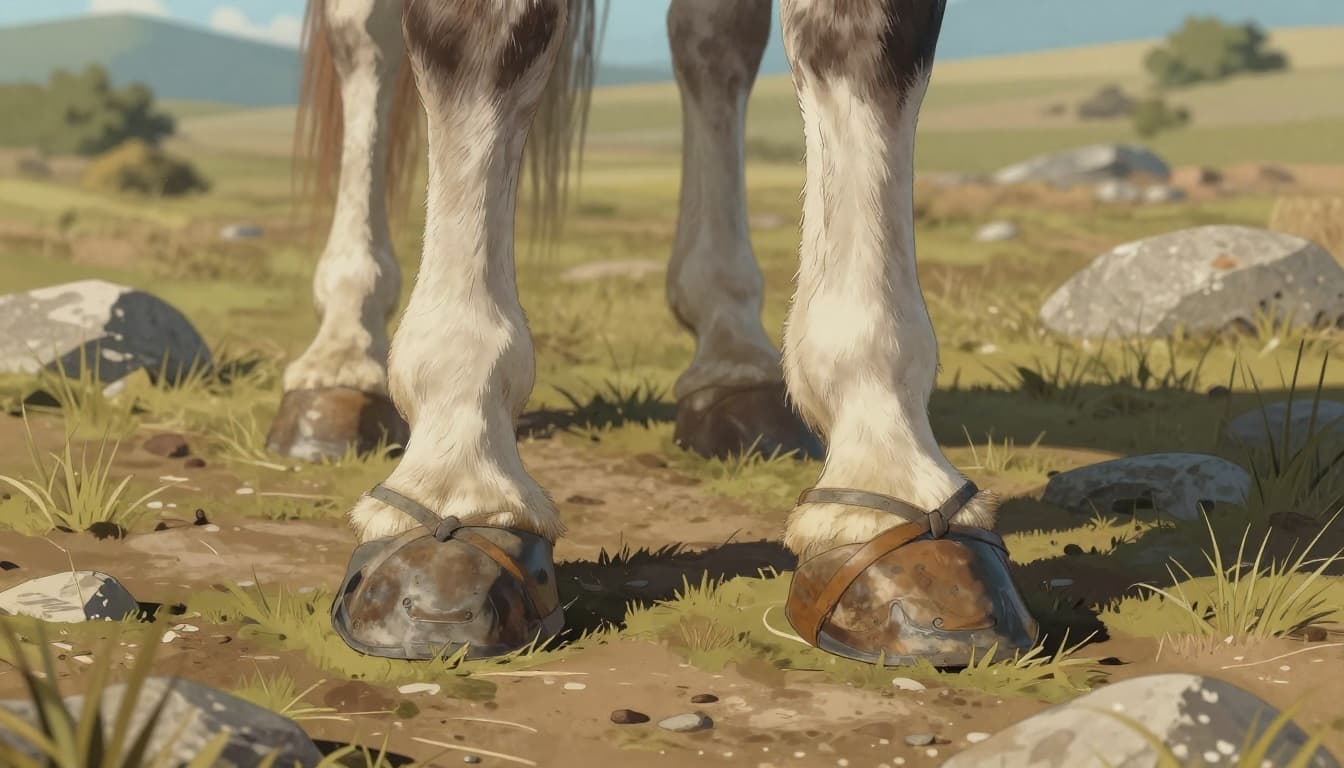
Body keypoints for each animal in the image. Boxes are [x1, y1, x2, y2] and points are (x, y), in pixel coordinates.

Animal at [271, 0, 1037, 666]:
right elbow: (482, 36)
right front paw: (456, 477)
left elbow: (866, 40)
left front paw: (886, 483)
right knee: (362, 36)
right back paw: (342, 357)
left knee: (715, 38)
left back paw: (732, 352)